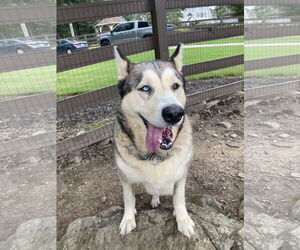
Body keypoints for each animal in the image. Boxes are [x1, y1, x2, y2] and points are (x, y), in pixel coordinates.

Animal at [112, 43, 195, 238]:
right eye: (145, 88)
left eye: (175, 86)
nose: (174, 113)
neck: (156, 156)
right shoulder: (124, 176)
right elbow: (128, 199)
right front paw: (128, 219)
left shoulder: (181, 175)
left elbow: (179, 198)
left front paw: (183, 220)